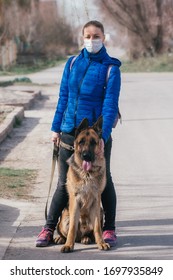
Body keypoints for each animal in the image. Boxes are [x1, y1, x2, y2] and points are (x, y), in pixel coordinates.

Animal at [54, 117, 109, 253]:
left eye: (93, 142)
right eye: (81, 142)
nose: (86, 156)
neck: (87, 174)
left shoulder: (96, 201)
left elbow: (97, 227)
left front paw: (101, 243)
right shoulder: (75, 200)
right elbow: (73, 227)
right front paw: (69, 245)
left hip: (100, 211)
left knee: (89, 233)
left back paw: (86, 238)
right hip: (64, 219)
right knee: (64, 230)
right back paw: (61, 238)